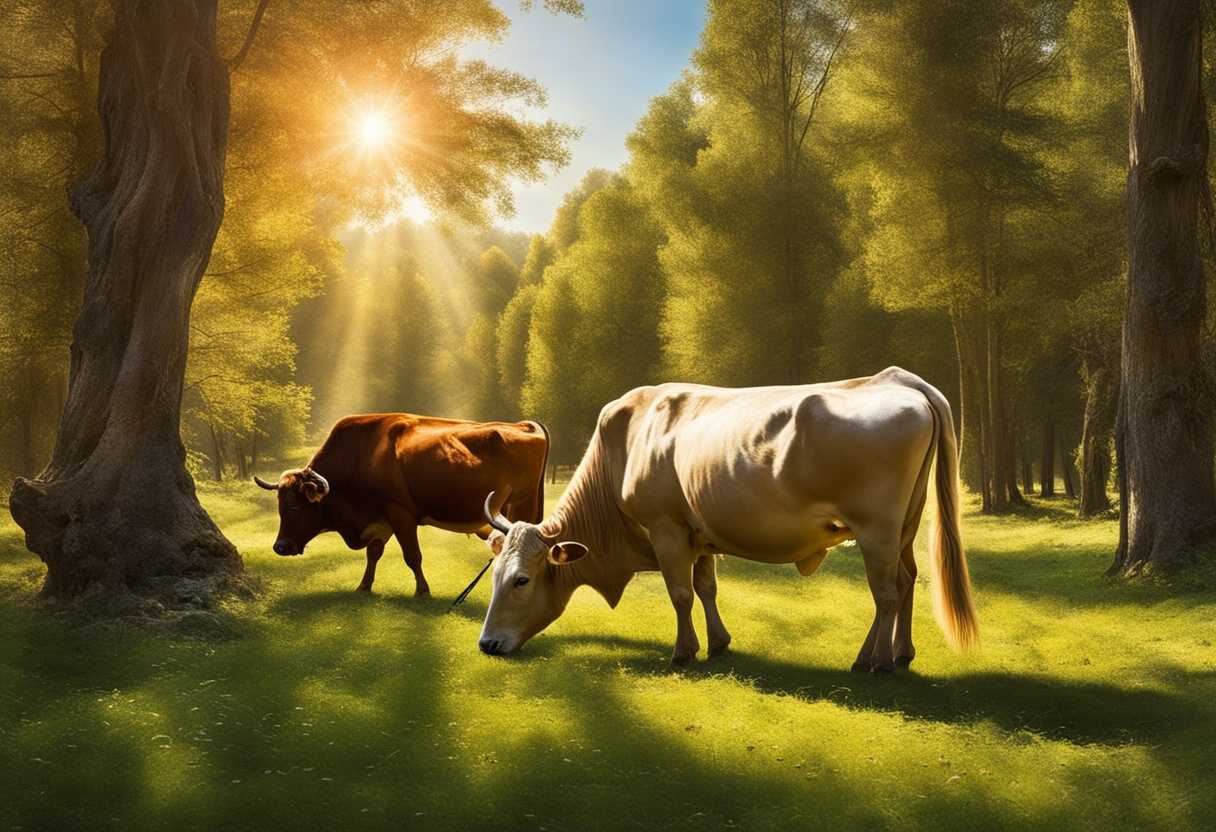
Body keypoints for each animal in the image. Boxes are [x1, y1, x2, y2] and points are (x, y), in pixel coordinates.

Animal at [254, 414, 549, 595]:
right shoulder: (381, 519)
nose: (280, 547)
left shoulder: (400, 512)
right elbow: (373, 553)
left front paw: (422, 590)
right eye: (279, 507)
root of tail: (524, 425)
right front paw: (364, 586)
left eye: (295, 507)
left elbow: (412, 555)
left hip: (520, 507)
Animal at [475, 367, 978, 673]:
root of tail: (898, 380)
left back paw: (872, 660)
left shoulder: (666, 530)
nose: (486, 644)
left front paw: (683, 651)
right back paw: (901, 653)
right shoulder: (699, 534)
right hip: (905, 526)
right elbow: (706, 587)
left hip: (876, 529)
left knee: (886, 593)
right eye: (493, 575)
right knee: (908, 580)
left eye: (521, 580)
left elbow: (680, 593)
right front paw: (718, 642)